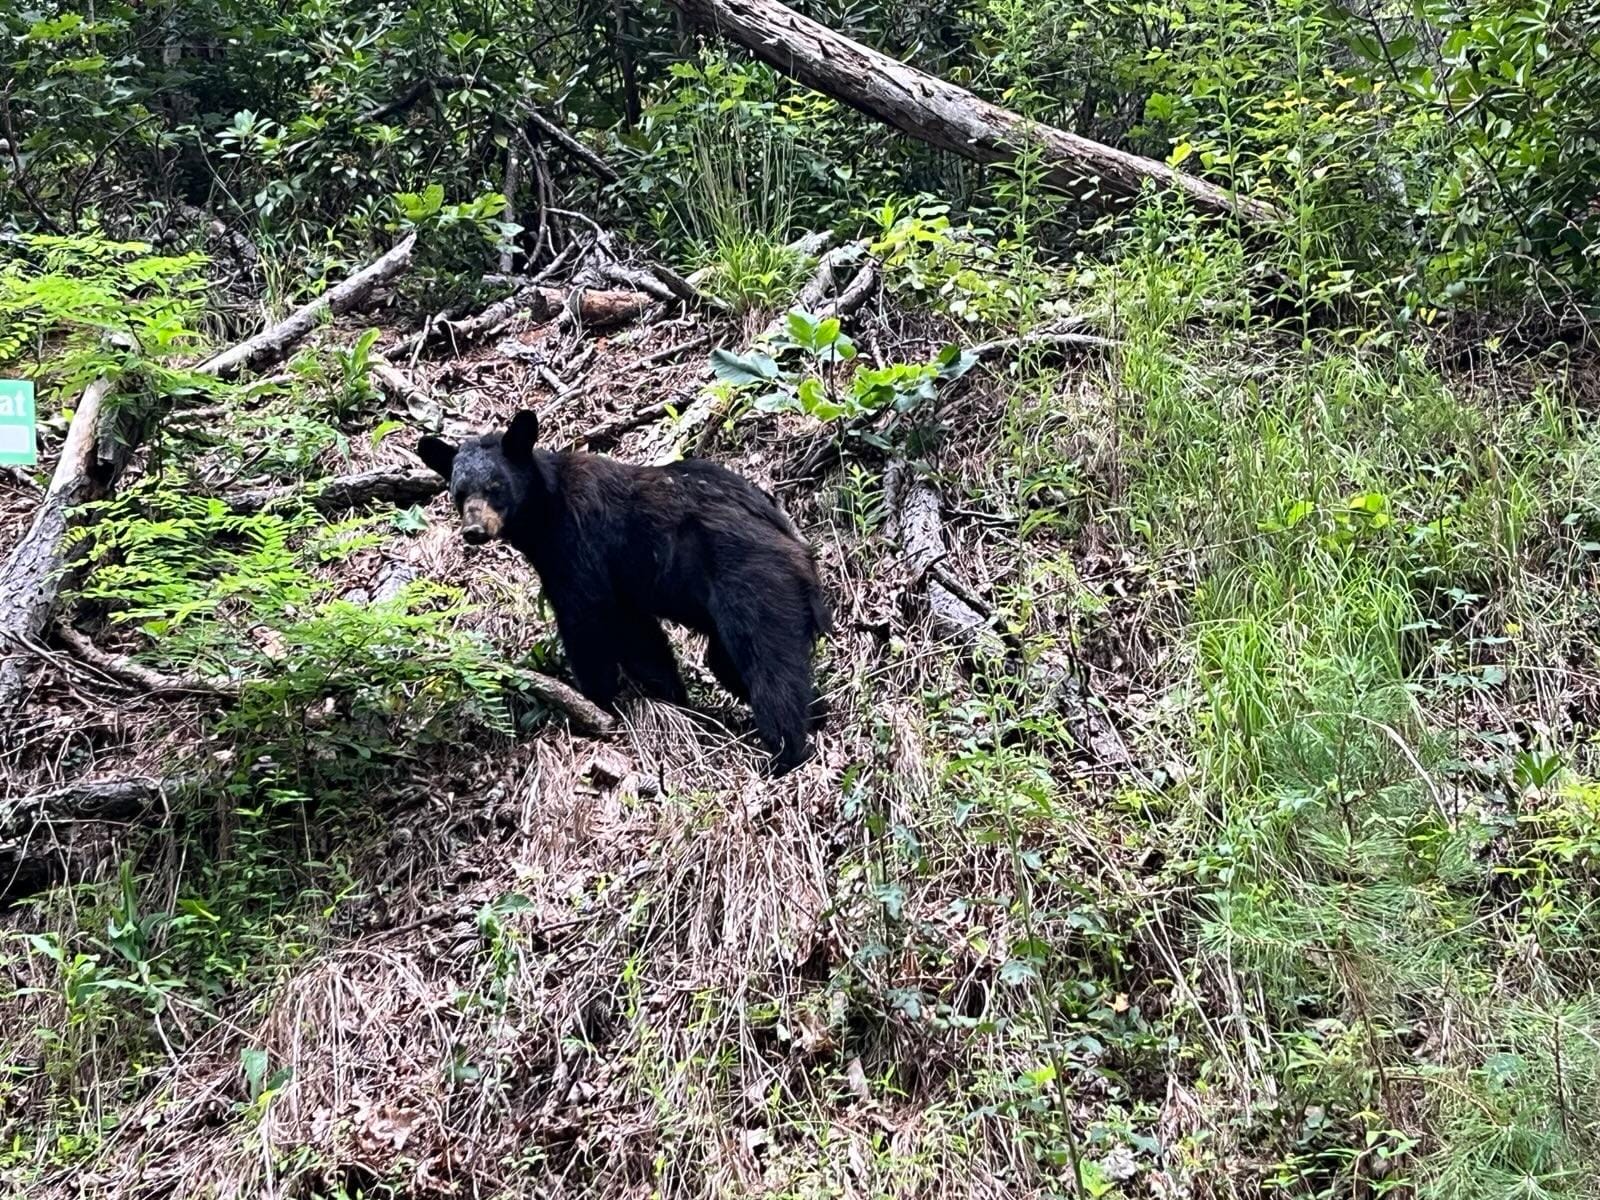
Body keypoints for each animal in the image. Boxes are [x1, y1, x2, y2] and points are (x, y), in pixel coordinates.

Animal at [416, 410, 830, 773]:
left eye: (496, 487)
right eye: (459, 492)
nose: (474, 530)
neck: (545, 513)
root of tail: (800, 552)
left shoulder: (578, 546)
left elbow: (588, 623)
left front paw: (598, 703)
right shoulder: (620, 584)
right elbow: (641, 637)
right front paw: (673, 699)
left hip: (755, 586)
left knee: (770, 667)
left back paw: (785, 753)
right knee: (733, 665)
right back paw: (816, 714)